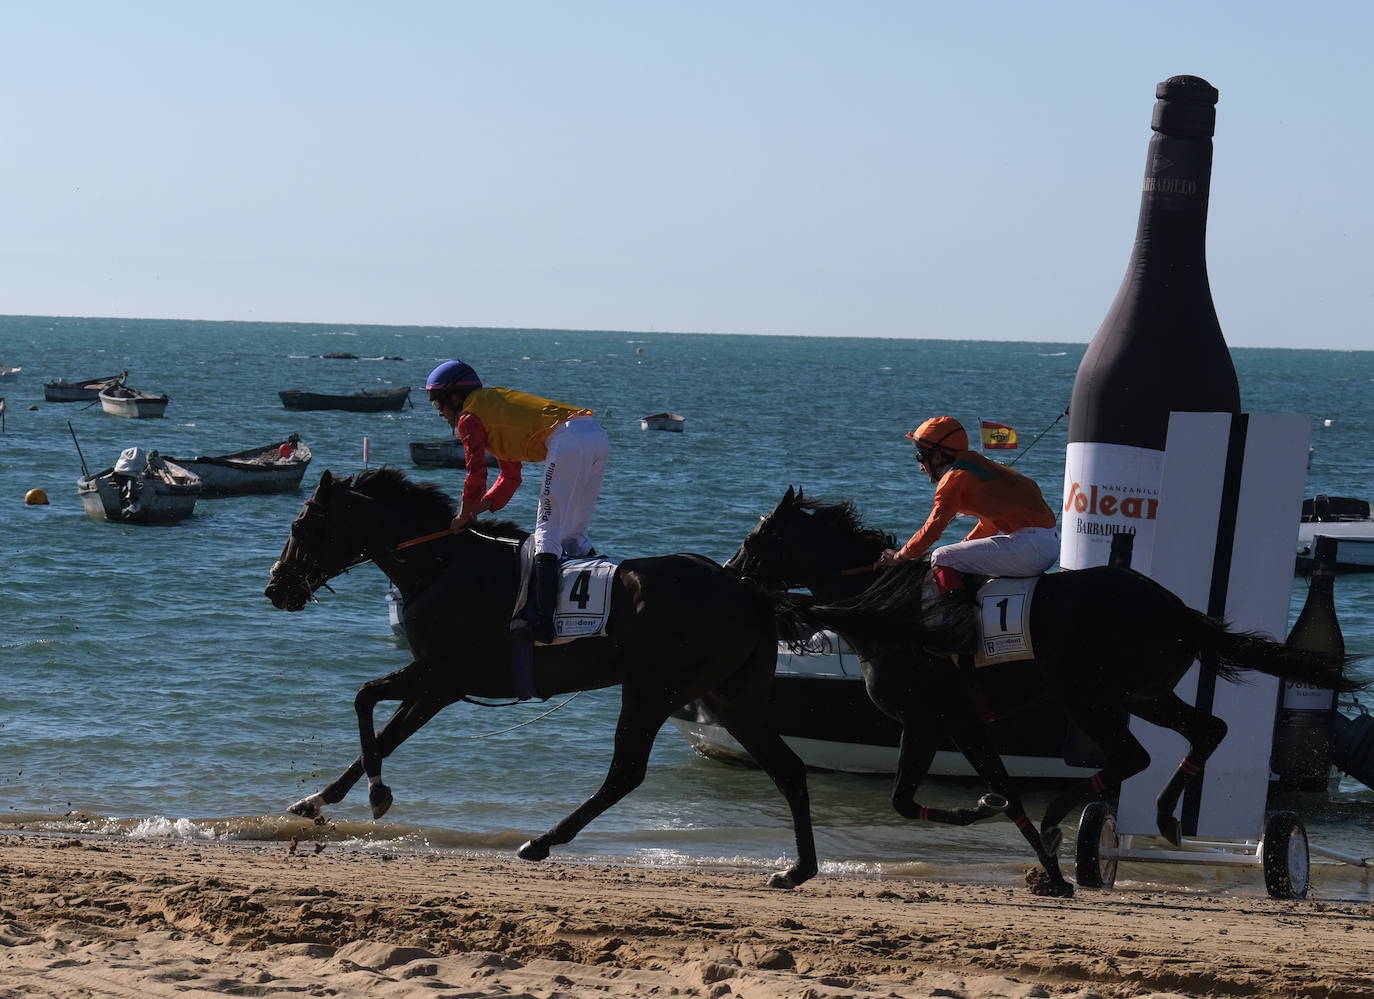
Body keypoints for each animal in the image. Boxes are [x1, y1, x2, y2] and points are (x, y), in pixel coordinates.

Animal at [262, 469, 813, 890]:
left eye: (300, 525)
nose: (275, 587)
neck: (439, 566)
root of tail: (746, 589)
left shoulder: (440, 676)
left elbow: (365, 701)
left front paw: (375, 795)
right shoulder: (440, 688)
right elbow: (384, 734)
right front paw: (317, 800)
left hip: (652, 691)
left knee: (626, 773)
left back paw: (542, 841)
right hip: (733, 698)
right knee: (788, 768)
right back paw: (796, 870)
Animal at [725, 486, 1357, 901]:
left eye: (759, 536)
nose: (731, 573)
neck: (887, 610)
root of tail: (1179, 610)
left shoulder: (932, 720)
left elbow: (926, 799)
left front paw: (1001, 826)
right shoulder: (958, 723)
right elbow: (999, 793)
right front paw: (1049, 873)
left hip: (1086, 693)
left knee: (1133, 755)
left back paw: (1067, 813)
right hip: (1140, 693)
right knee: (1207, 730)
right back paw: (1163, 815)